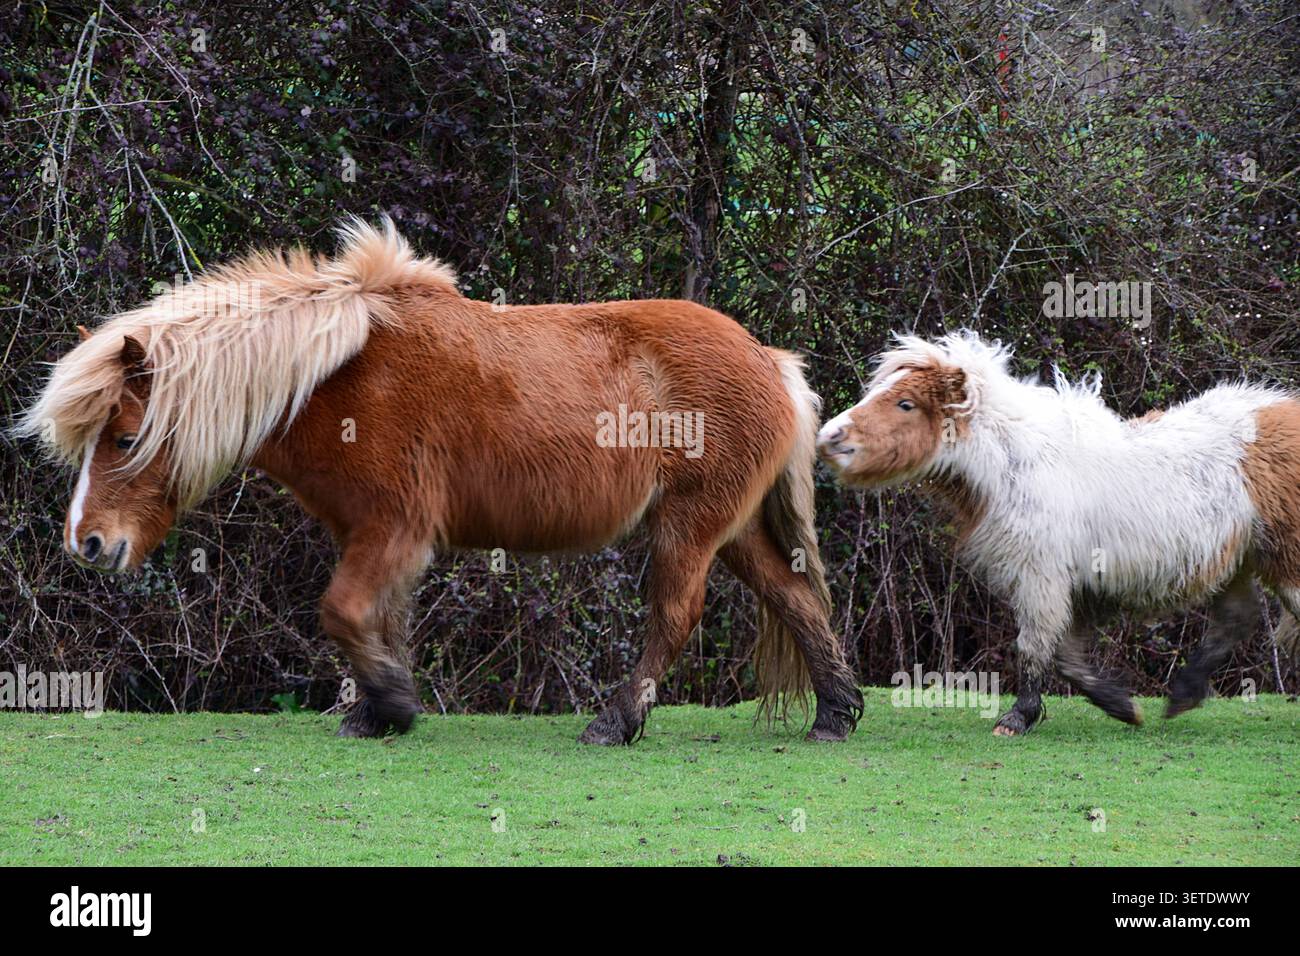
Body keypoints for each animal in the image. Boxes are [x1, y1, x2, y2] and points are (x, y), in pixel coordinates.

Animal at [17, 219, 863, 743]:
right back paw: (836, 713)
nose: (86, 543)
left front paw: (391, 703)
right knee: (793, 597)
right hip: (731, 530)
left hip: (690, 528)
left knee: (675, 616)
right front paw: (379, 708)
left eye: (125, 439)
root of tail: (769, 359)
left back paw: (616, 722)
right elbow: (379, 617)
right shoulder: (373, 533)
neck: (335, 376)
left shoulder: (394, 526)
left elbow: (342, 611)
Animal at [815, 329, 1300, 734]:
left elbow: (1034, 648)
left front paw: (1016, 718)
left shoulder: (1041, 576)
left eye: (905, 404)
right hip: (1239, 561)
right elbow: (1065, 658)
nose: (830, 438)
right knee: (1236, 619)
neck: (1013, 466)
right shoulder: (1074, 586)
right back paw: (1183, 694)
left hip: (1285, 562)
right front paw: (1121, 705)